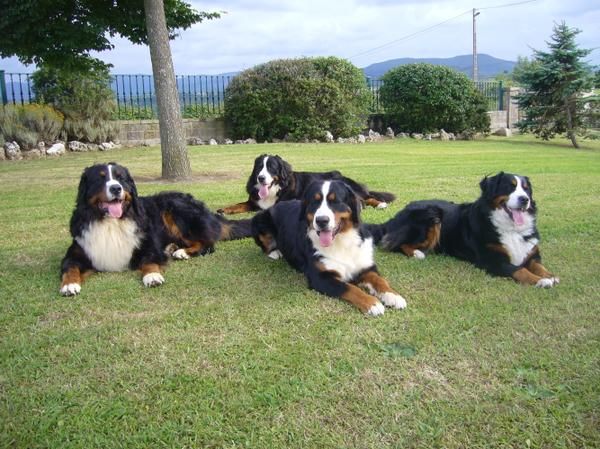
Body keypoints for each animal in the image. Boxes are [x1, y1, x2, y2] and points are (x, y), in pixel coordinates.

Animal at [59, 163, 251, 296]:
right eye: (100, 178)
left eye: (121, 179)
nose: (116, 188)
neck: (111, 223)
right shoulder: (76, 252)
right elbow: (70, 267)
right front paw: (69, 285)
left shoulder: (149, 245)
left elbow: (150, 261)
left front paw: (152, 276)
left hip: (175, 209)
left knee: (208, 244)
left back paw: (182, 252)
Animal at [218, 154, 396, 215]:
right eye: (259, 167)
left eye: (271, 167)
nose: (261, 178)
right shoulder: (254, 201)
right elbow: (239, 204)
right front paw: (224, 209)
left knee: (366, 197)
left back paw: (380, 204)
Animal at [248, 178, 408, 316]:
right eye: (315, 201)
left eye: (335, 201)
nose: (321, 220)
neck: (341, 241)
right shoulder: (321, 277)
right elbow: (349, 288)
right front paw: (371, 303)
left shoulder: (365, 265)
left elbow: (380, 280)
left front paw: (393, 296)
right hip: (259, 218)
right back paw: (275, 252)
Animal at [368, 172, 560, 288]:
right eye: (510, 186)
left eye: (526, 189)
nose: (524, 199)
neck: (511, 228)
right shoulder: (492, 260)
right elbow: (520, 270)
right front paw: (541, 281)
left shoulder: (531, 252)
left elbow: (537, 265)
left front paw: (550, 275)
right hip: (431, 215)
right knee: (396, 244)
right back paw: (417, 253)